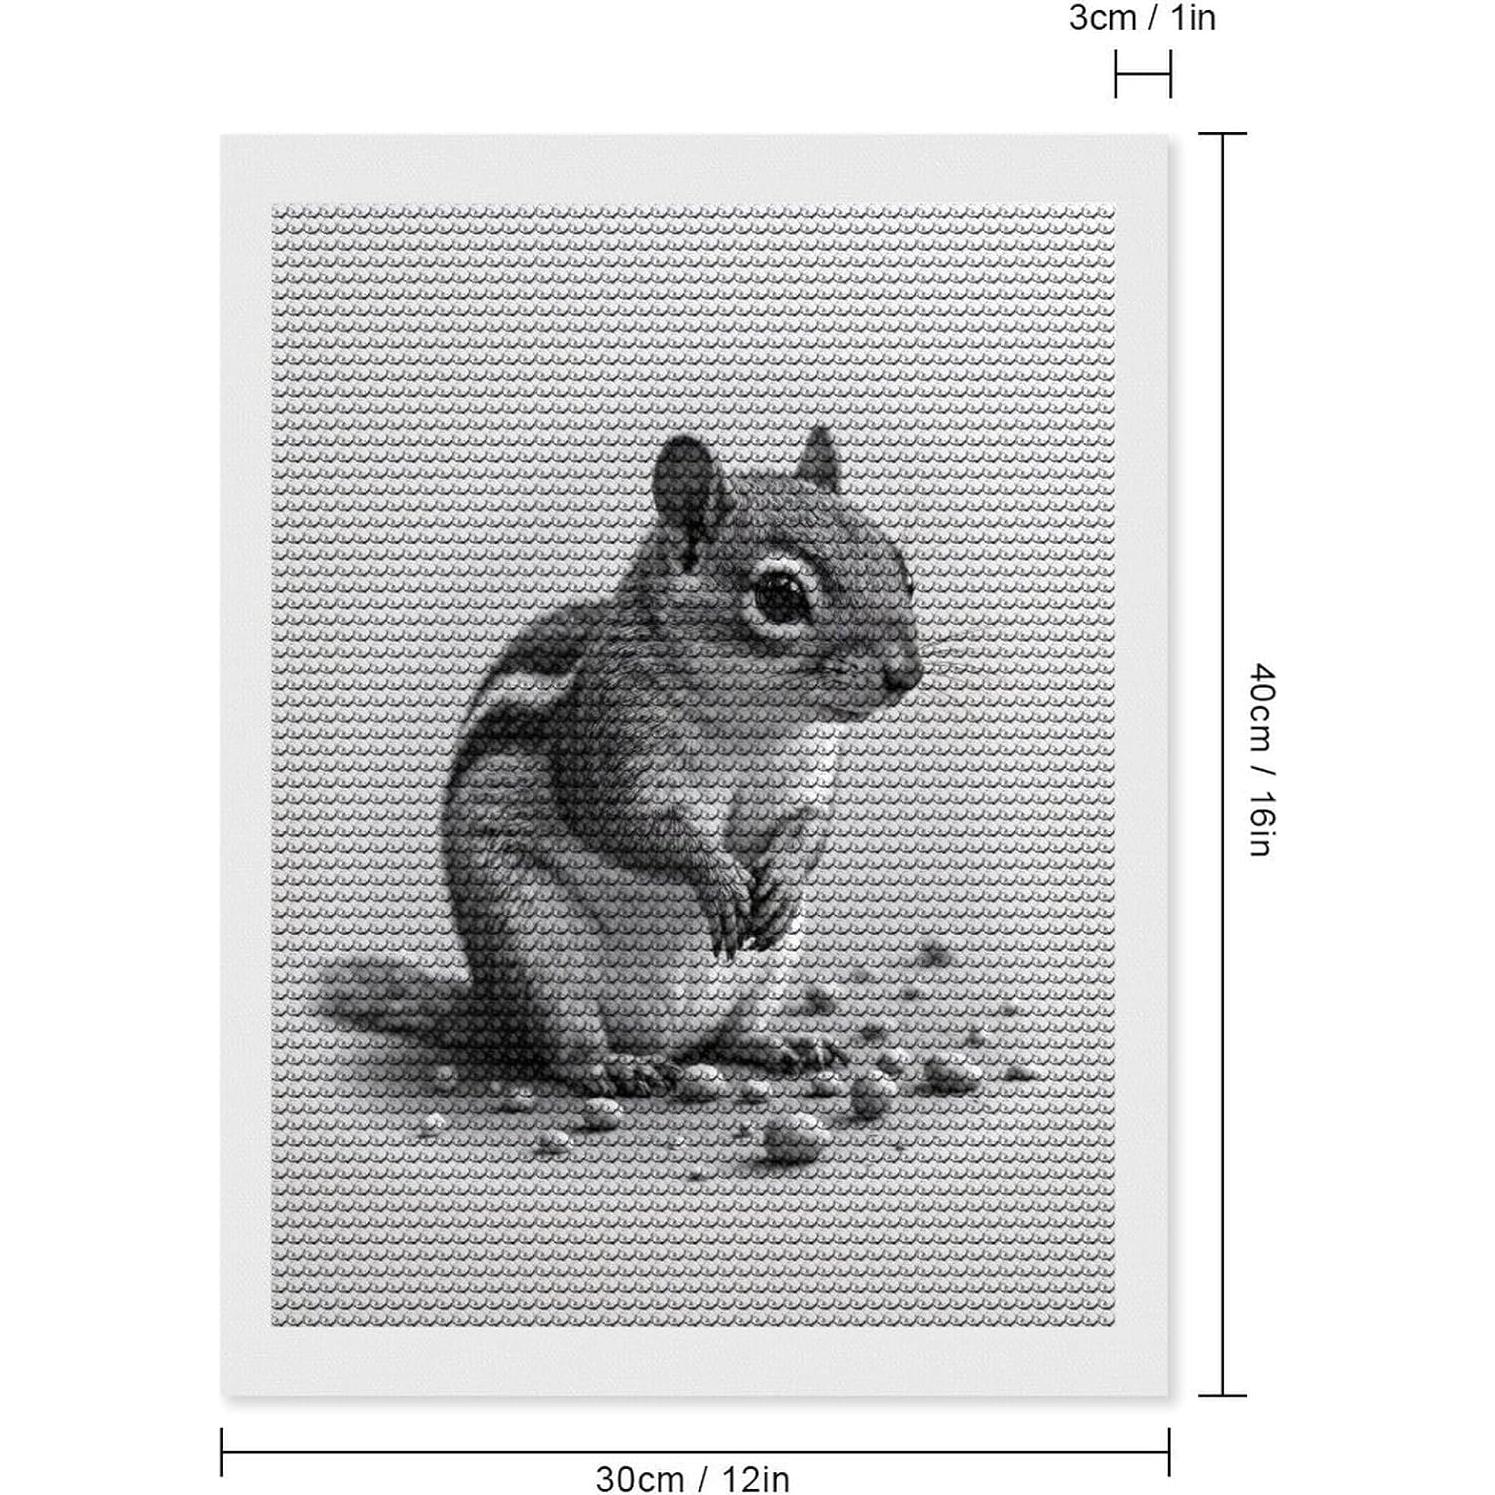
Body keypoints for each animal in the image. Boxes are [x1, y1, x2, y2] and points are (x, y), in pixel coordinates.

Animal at [441, 427, 922, 1096]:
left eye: (901, 568)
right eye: (780, 596)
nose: (907, 674)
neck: (751, 724)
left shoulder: (809, 771)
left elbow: (809, 826)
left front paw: (783, 876)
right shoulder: (609, 747)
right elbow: (630, 825)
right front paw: (714, 874)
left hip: (770, 968)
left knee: (731, 1034)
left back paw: (782, 1044)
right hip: (533, 937)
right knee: (566, 1047)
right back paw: (614, 1066)